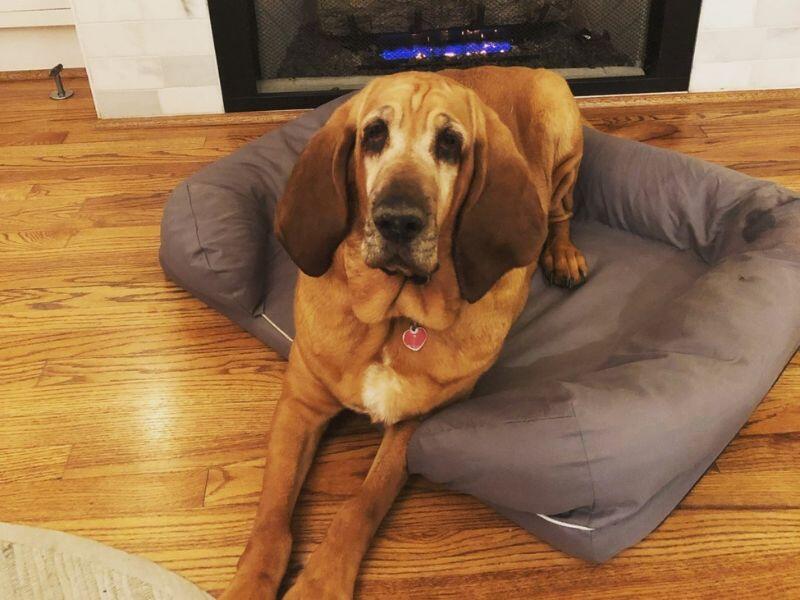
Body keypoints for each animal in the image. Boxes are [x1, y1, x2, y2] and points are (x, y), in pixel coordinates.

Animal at [222, 65, 584, 600]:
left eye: (451, 143)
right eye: (374, 133)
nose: (398, 221)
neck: (394, 318)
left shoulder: (413, 424)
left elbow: (360, 505)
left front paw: (320, 582)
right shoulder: (299, 405)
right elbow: (271, 514)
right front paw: (249, 583)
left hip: (561, 124)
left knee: (561, 213)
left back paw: (562, 254)